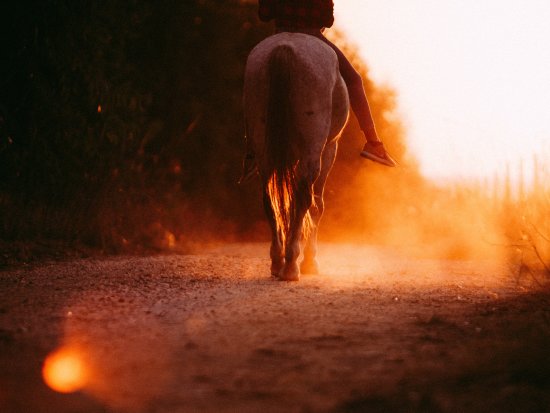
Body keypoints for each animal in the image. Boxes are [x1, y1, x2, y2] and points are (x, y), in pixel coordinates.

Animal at [245, 33, 350, 280]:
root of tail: (285, 48)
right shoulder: (329, 150)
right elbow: (317, 205)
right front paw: (311, 262)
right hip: (314, 150)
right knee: (304, 198)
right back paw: (292, 265)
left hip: (265, 150)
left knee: (269, 198)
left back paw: (277, 262)